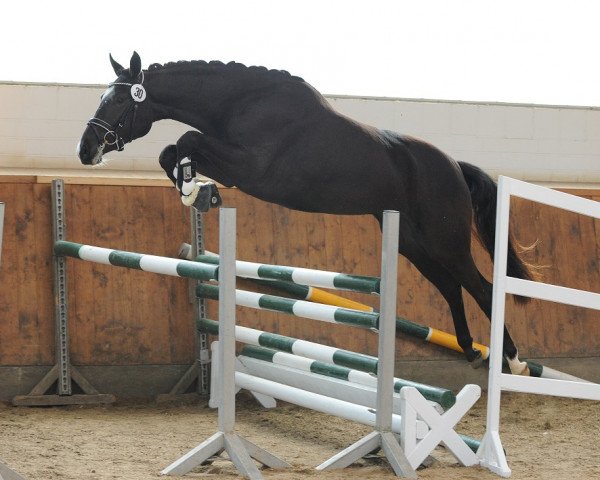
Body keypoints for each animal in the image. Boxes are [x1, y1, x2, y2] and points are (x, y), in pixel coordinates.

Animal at [77, 52, 532, 376]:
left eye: (120, 99)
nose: (86, 149)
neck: (242, 103)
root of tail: (455, 166)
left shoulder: (249, 168)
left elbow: (187, 140)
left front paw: (195, 190)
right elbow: (172, 151)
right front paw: (197, 191)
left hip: (445, 242)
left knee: (481, 287)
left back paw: (512, 361)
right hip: (414, 245)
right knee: (452, 288)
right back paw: (470, 350)